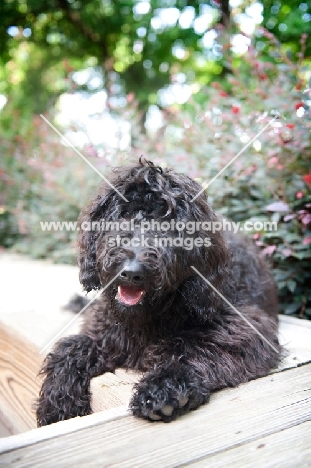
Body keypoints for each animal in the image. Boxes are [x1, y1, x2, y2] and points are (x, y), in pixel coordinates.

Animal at [35, 156, 282, 424]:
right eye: (124, 213)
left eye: (169, 223)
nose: (132, 272)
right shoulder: (105, 329)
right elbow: (73, 346)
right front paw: (58, 401)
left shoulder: (244, 326)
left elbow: (194, 347)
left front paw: (165, 384)